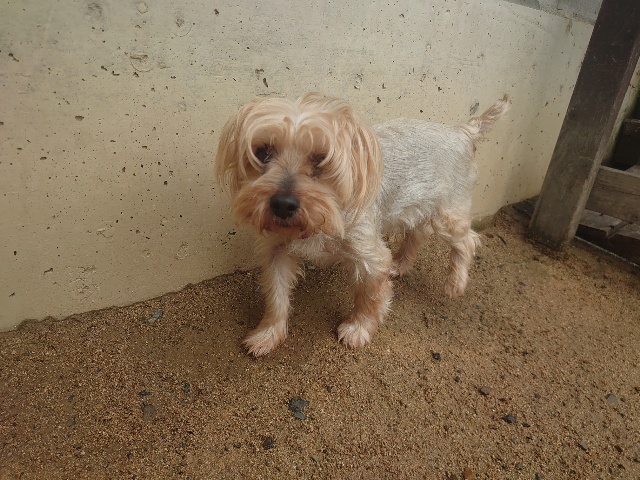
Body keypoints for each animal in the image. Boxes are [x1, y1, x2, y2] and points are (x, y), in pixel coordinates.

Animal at [215, 92, 509, 356]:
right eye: (262, 152)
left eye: (321, 159)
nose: (283, 204)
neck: (320, 220)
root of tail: (463, 132)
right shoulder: (276, 250)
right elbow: (276, 296)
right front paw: (267, 334)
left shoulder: (370, 254)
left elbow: (371, 295)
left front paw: (358, 329)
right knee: (417, 232)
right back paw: (401, 264)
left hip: (447, 213)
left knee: (467, 240)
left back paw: (455, 283)